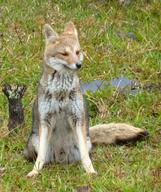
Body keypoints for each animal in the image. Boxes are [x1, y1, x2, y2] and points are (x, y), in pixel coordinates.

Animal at [23, 21, 148, 178]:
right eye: (64, 53)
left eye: (77, 52)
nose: (78, 65)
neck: (61, 91)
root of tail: (60, 159)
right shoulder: (46, 121)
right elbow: (40, 157)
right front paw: (34, 172)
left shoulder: (77, 119)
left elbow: (85, 157)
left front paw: (90, 172)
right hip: (36, 141)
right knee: (43, 157)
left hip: (85, 139)